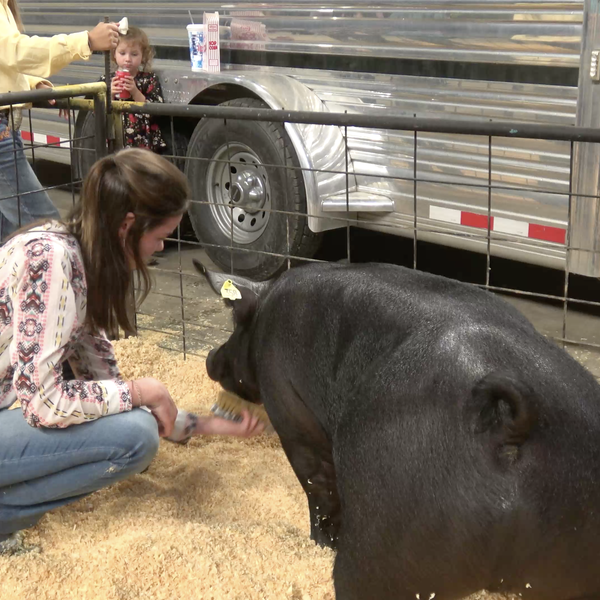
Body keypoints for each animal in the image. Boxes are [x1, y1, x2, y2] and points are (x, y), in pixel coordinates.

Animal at [195, 260, 600, 600]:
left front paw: (320, 543)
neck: (266, 311)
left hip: (397, 535)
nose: (210, 358)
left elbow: (316, 484)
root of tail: (511, 424)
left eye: (236, 324)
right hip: (572, 559)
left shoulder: (291, 410)